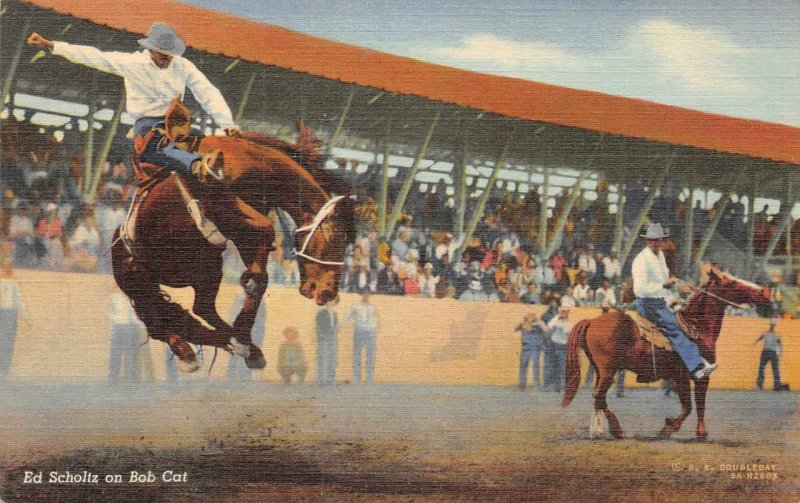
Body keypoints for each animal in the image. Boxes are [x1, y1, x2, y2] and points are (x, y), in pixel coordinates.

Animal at [560, 266, 772, 440]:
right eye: (732, 283)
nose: (763, 293)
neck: (697, 327)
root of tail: (592, 321)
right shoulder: (695, 376)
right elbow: (694, 405)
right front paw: (686, 431)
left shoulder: (678, 378)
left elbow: (691, 405)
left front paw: (677, 428)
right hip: (607, 371)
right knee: (599, 395)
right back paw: (616, 429)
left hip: (600, 370)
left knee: (598, 398)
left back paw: (599, 430)